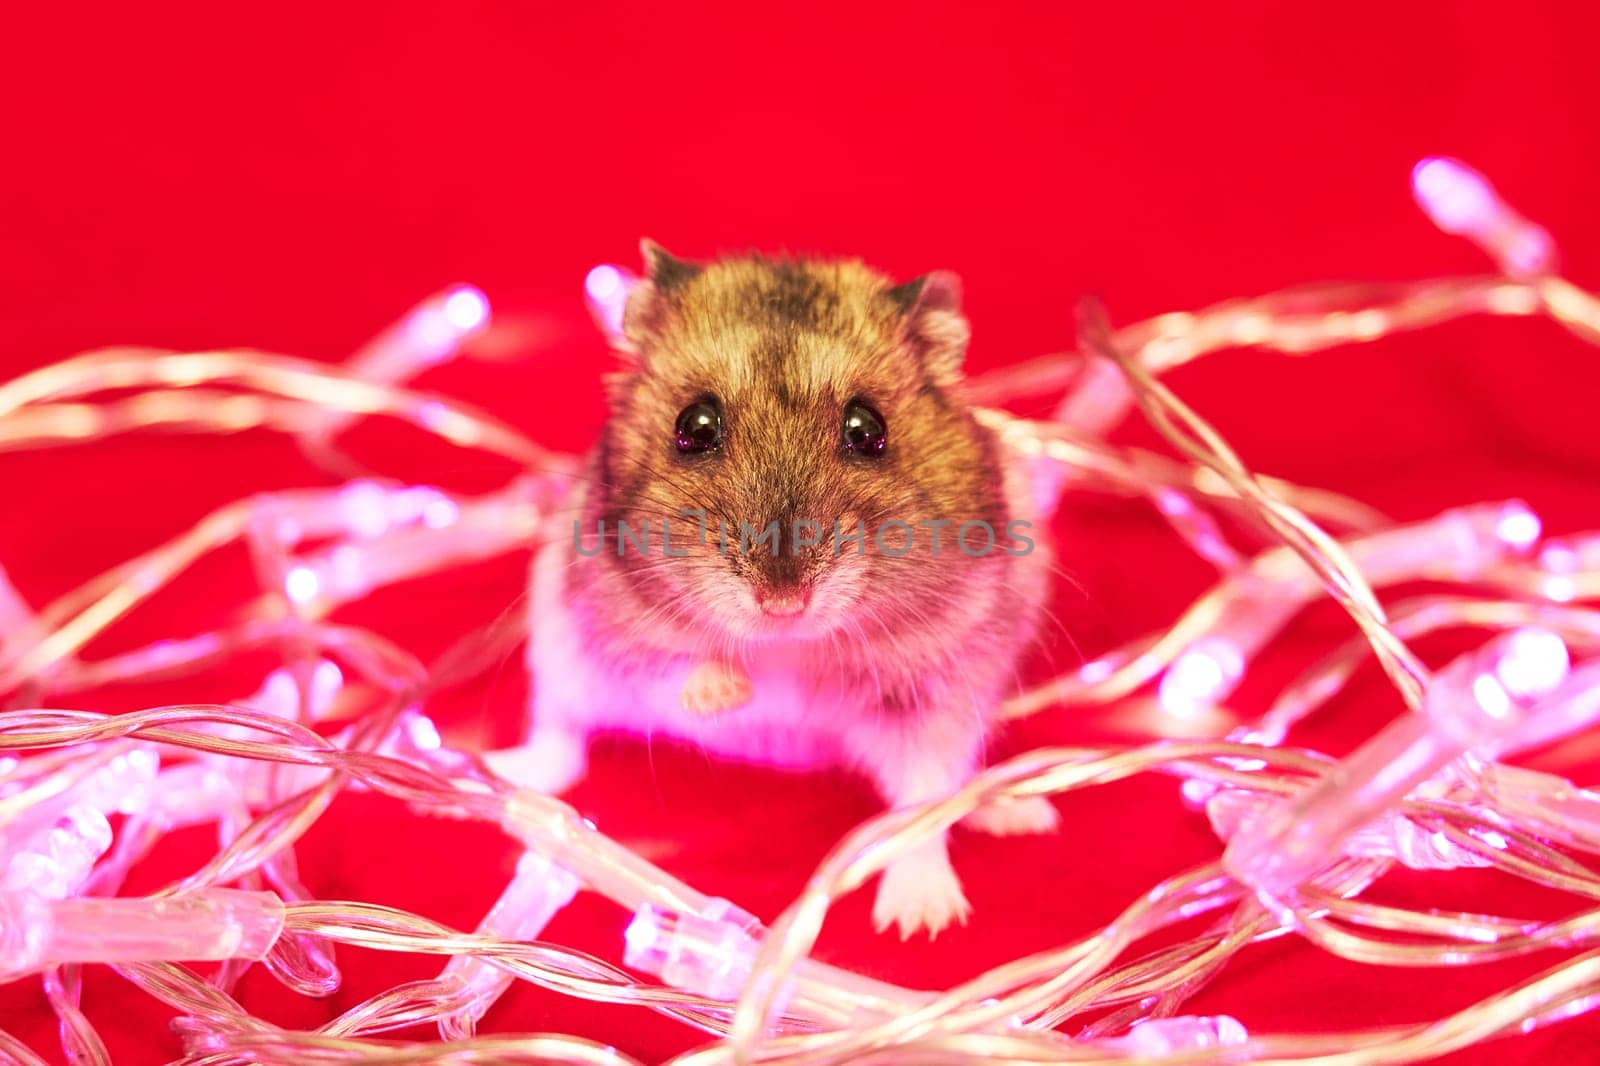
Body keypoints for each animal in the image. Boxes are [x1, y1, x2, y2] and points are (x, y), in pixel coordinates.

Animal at [492, 243, 1056, 941]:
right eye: (694, 424)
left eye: (867, 427)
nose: (784, 605)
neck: (783, 643)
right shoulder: (606, 618)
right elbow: (677, 669)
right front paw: (732, 689)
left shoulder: (940, 692)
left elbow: (922, 806)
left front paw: (917, 924)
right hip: (558, 654)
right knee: (561, 737)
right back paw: (504, 772)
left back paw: (1011, 819)